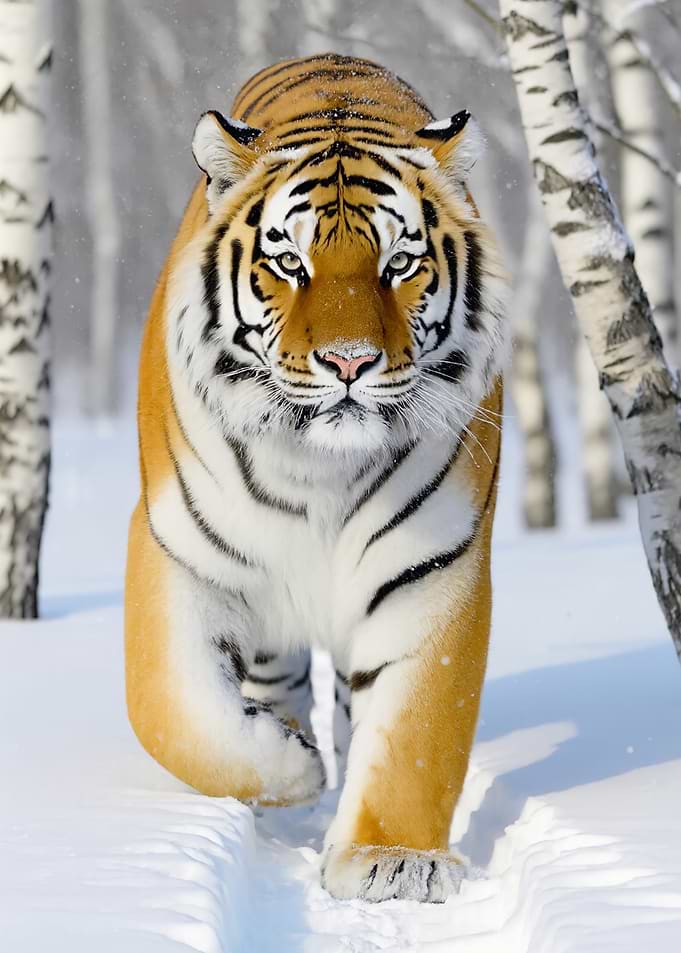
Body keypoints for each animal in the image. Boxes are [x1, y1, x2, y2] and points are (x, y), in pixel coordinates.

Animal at [125, 53, 507, 904]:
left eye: (399, 263)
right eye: (288, 263)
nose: (349, 362)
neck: (320, 468)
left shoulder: (431, 566)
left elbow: (417, 732)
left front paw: (392, 862)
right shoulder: (177, 549)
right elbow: (172, 709)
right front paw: (288, 769)